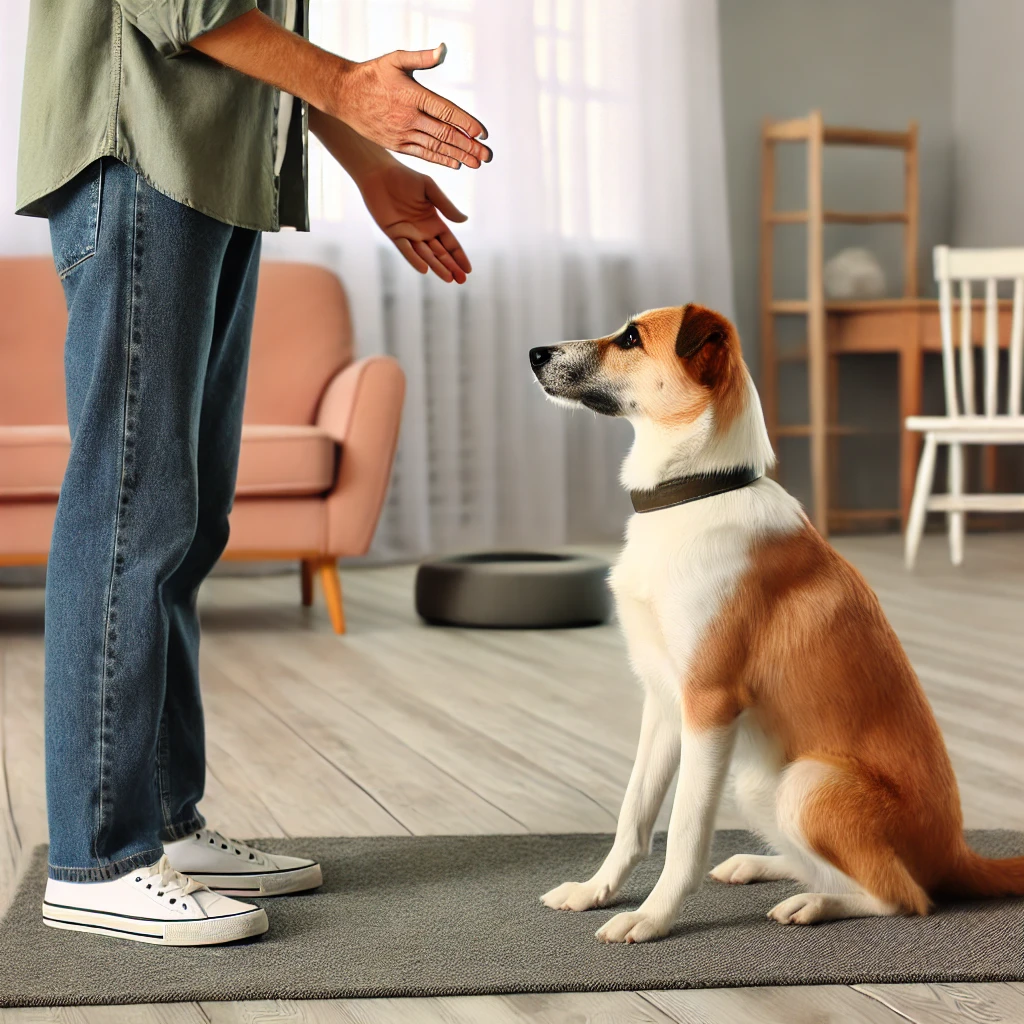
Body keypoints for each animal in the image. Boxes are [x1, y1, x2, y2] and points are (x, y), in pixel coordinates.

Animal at [528, 303, 1024, 942]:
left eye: (632, 338)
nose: (535, 353)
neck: (693, 494)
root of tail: (959, 855)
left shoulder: (709, 706)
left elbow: (684, 831)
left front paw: (652, 918)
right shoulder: (664, 702)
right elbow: (633, 813)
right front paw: (596, 891)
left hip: (805, 784)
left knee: (904, 896)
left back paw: (812, 904)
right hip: (760, 778)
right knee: (838, 871)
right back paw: (760, 865)